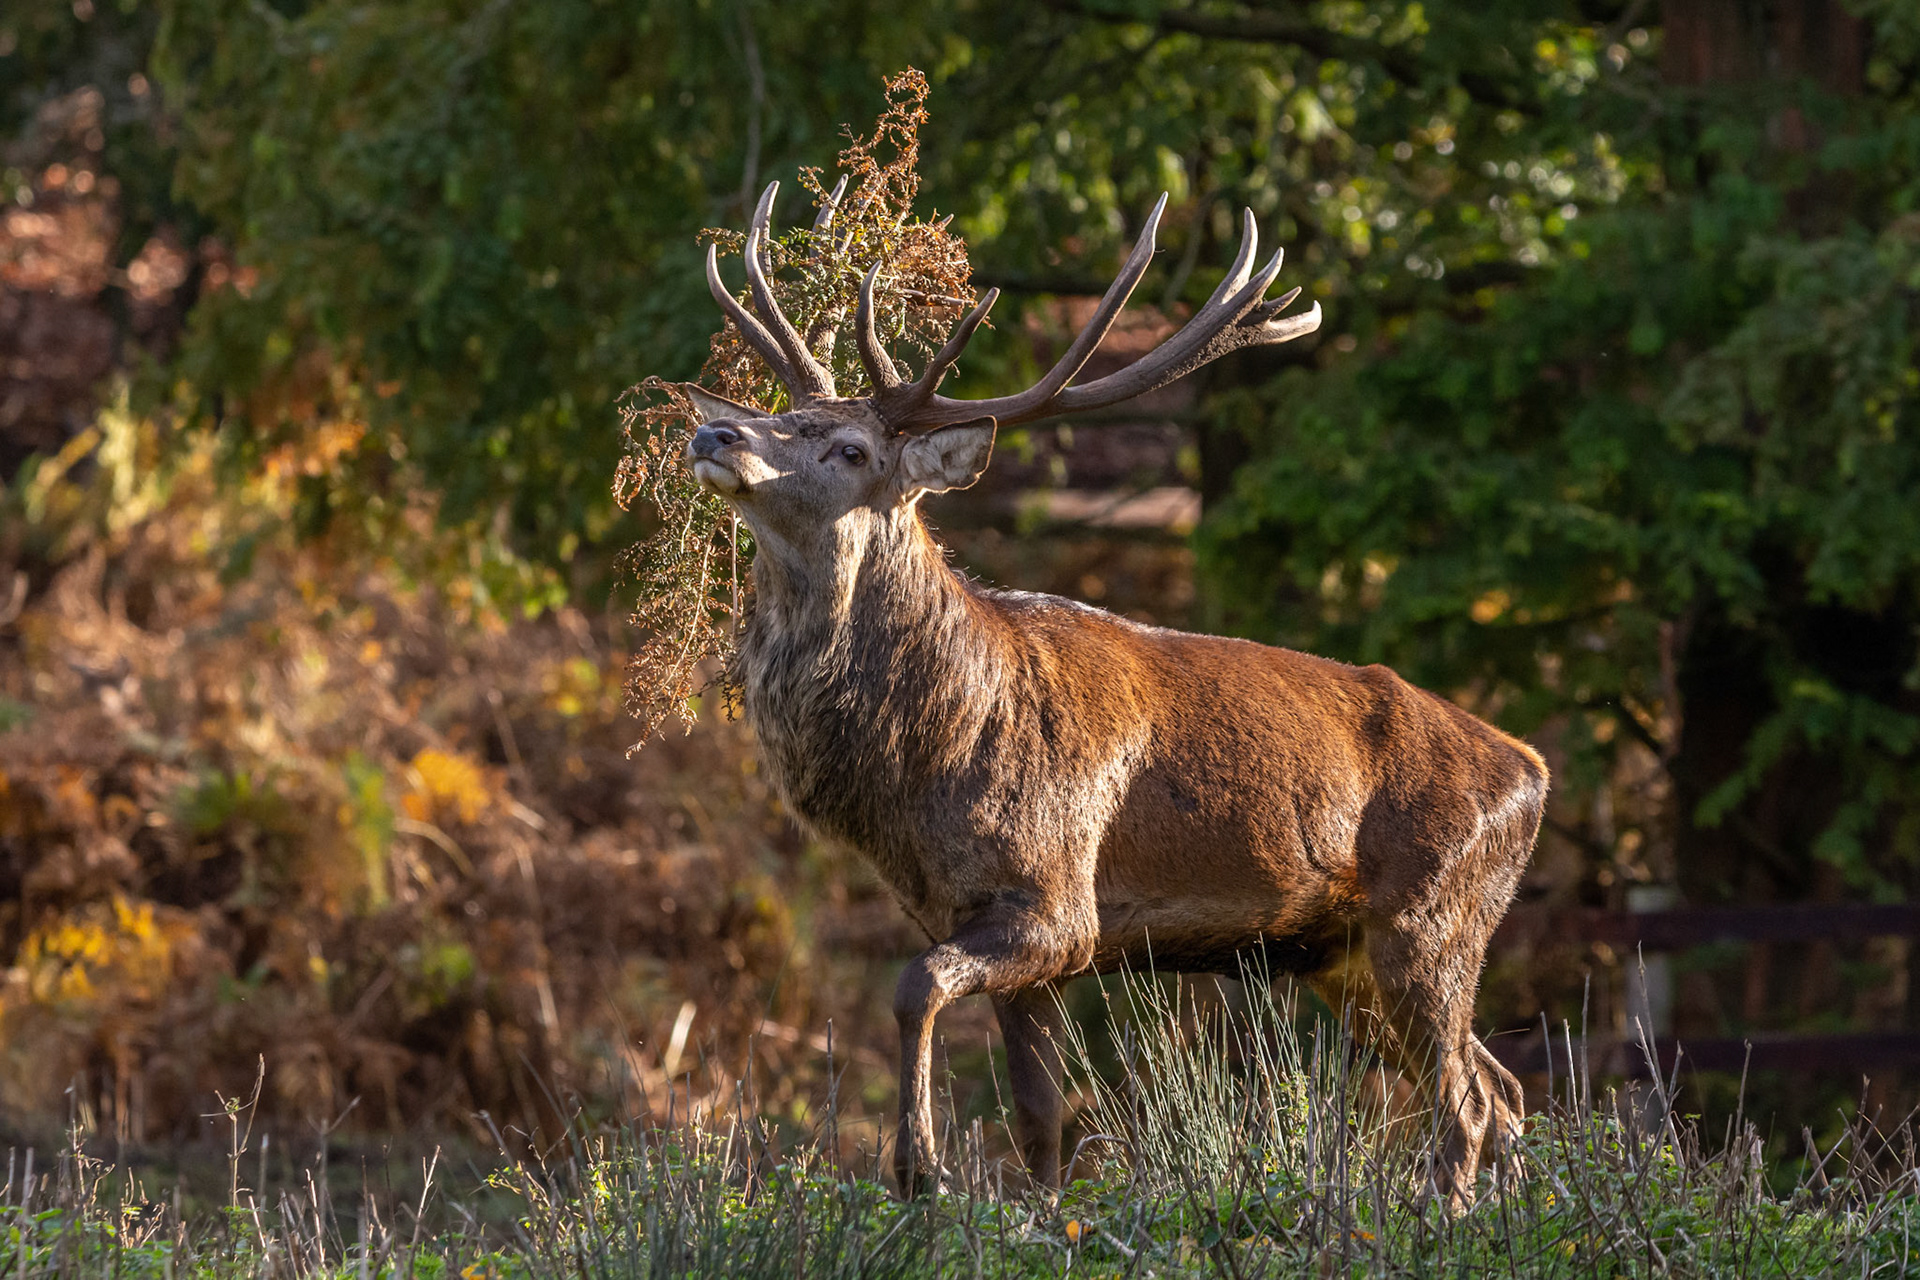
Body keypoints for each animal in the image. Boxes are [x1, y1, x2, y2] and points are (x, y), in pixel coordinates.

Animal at [675, 179, 1548, 1210]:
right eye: (778, 412)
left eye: (850, 449)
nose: (717, 430)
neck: (930, 754)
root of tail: (1531, 771)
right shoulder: (987, 932)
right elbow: (1040, 1125)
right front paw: (1034, 1214)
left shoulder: (1060, 901)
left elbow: (914, 987)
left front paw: (922, 1171)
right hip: (1343, 953)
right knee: (1502, 1088)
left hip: (1433, 915)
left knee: (1466, 1102)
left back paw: (1442, 1217)